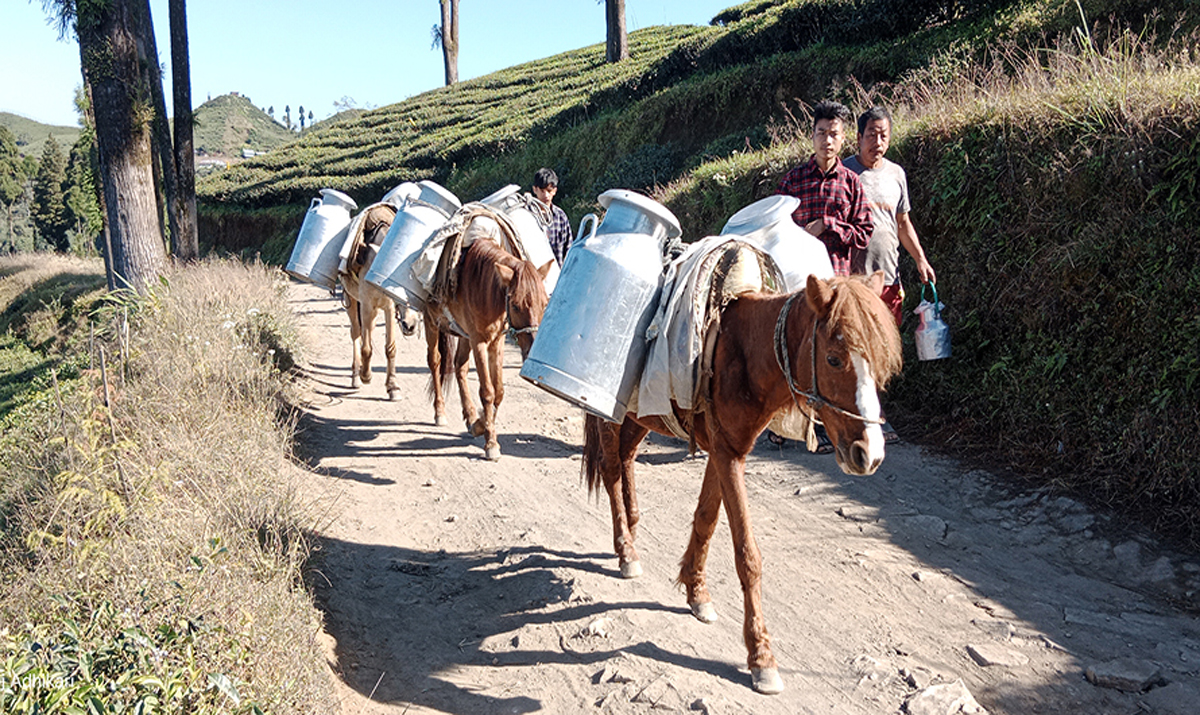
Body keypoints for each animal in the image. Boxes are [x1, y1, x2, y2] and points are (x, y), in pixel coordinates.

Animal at [343, 203, 422, 398]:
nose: (410, 325)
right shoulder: (365, 304)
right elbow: (366, 347)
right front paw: (365, 376)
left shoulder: (388, 307)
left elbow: (390, 348)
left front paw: (393, 386)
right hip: (352, 300)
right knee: (356, 333)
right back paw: (356, 376)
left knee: (368, 330)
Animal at [424, 235, 549, 458]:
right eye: (515, 305)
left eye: (544, 304)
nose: (531, 350)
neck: (485, 288)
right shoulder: (479, 342)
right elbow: (487, 391)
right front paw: (491, 443)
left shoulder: (495, 342)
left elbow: (498, 391)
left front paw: (480, 425)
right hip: (431, 322)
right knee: (436, 362)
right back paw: (439, 411)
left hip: (463, 334)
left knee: (460, 366)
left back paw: (470, 414)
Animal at [580, 272, 902, 691]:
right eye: (834, 358)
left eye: (880, 363)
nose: (870, 454)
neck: (745, 351)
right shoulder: (726, 454)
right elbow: (747, 555)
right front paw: (761, 656)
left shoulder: (727, 450)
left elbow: (706, 519)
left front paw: (696, 591)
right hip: (609, 412)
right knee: (610, 468)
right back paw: (626, 550)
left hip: (642, 416)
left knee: (626, 458)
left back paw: (632, 531)